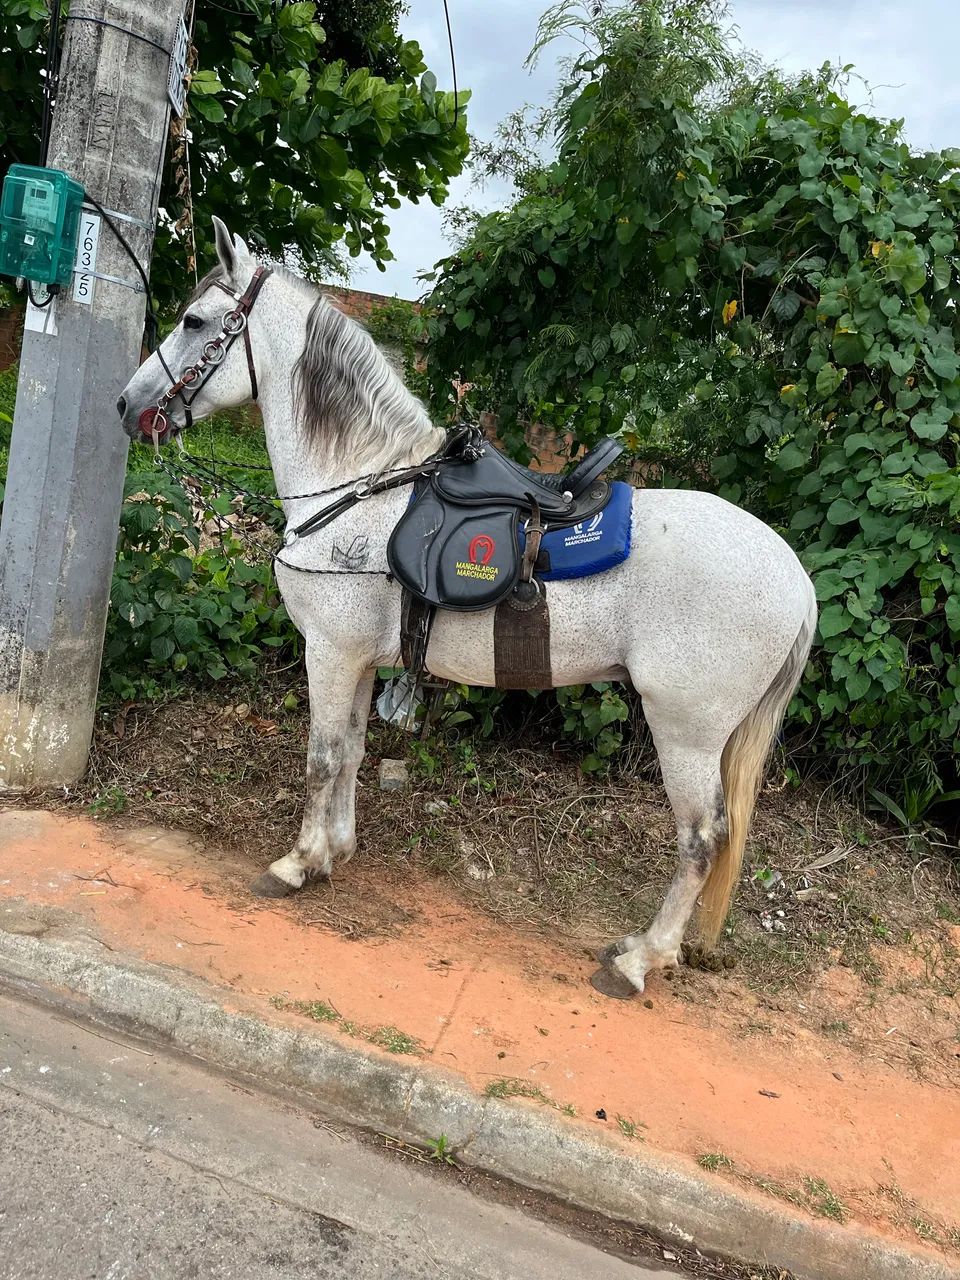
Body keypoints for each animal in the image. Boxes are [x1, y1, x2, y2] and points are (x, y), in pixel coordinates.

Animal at [117, 219, 817, 997]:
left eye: (194, 322)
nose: (127, 406)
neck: (361, 483)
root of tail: (796, 578)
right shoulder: (358, 659)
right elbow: (352, 750)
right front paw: (334, 851)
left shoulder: (327, 651)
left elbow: (321, 758)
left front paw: (296, 864)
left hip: (686, 732)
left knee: (700, 840)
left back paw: (639, 961)